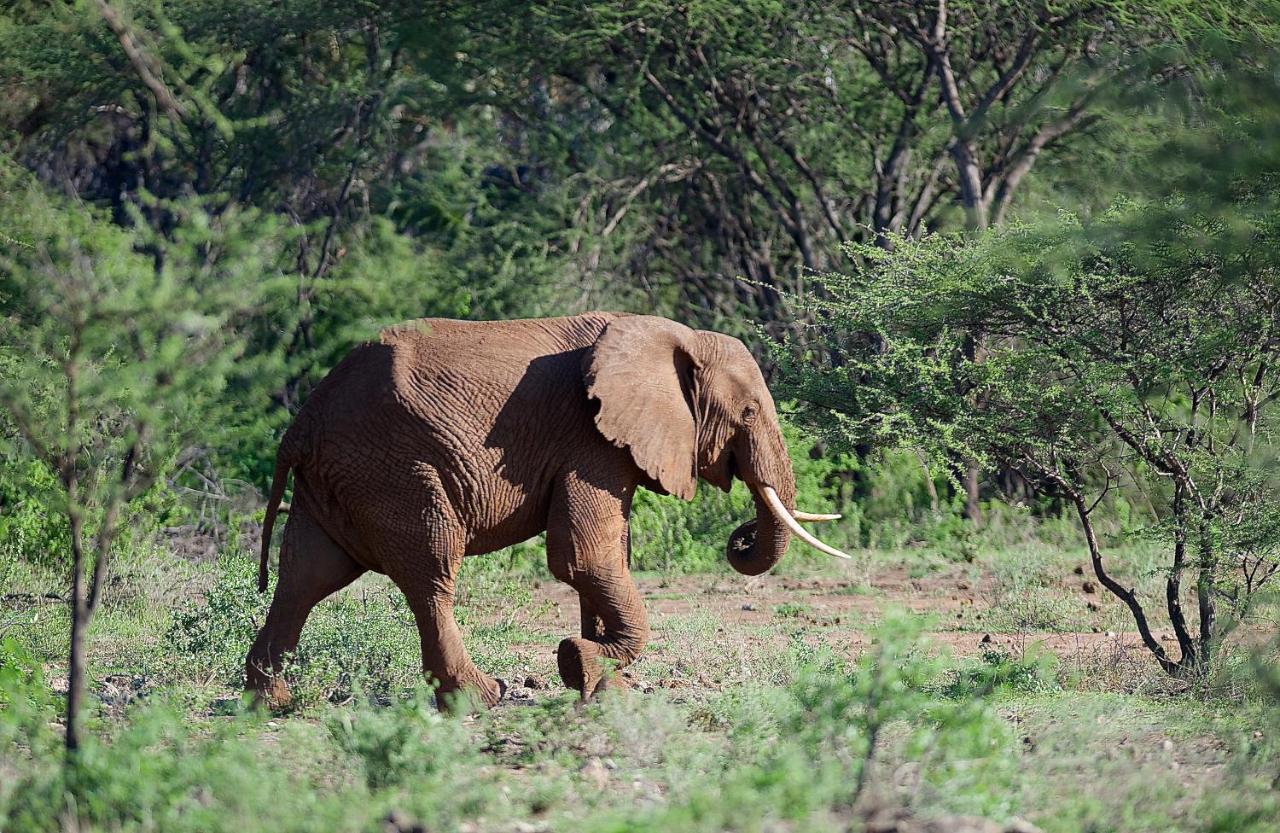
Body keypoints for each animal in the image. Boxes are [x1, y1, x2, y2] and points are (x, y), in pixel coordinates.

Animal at [247, 312, 849, 711]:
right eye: (747, 413)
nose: (741, 536)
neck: (672, 338)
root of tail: (301, 424)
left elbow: (607, 554)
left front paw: (597, 682)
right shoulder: (590, 440)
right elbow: (581, 556)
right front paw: (579, 663)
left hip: (338, 478)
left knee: (306, 576)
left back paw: (267, 701)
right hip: (395, 469)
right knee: (430, 571)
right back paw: (481, 698)